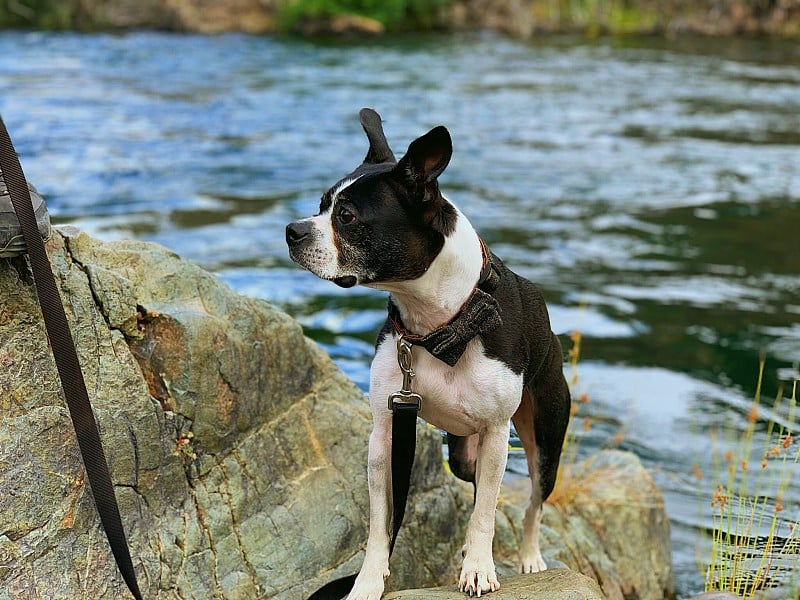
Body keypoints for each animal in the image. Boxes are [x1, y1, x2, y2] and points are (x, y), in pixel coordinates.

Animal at [284, 110, 572, 596]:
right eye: (320, 205)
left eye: (347, 216)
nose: (292, 230)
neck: (438, 325)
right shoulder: (385, 433)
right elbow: (380, 522)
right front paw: (367, 582)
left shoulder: (497, 434)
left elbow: (486, 512)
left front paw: (479, 569)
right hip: (461, 456)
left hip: (545, 436)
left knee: (533, 499)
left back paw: (530, 559)